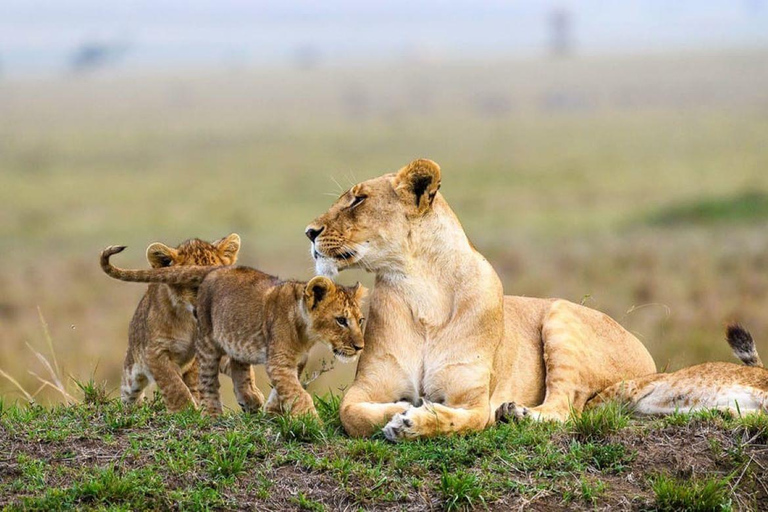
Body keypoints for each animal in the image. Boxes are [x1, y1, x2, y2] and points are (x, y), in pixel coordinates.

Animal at [304, 159, 656, 440]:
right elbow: (351, 414)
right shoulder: (367, 385)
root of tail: (648, 360)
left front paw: (412, 421)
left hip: (560, 315)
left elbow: (466, 420)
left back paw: (518, 414)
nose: (309, 231)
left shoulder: (473, 398)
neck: (422, 289)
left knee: (564, 407)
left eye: (358, 199)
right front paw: (401, 407)